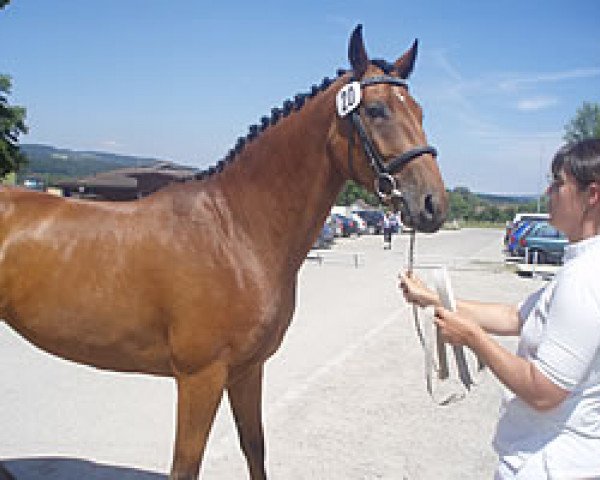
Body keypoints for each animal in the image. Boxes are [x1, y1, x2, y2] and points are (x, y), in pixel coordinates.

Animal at [0, 27, 448, 480]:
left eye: (421, 111)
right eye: (375, 110)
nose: (433, 204)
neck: (235, 231)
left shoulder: (248, 371)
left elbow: (255, 448)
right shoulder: (200, 377)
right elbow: (186, 465)